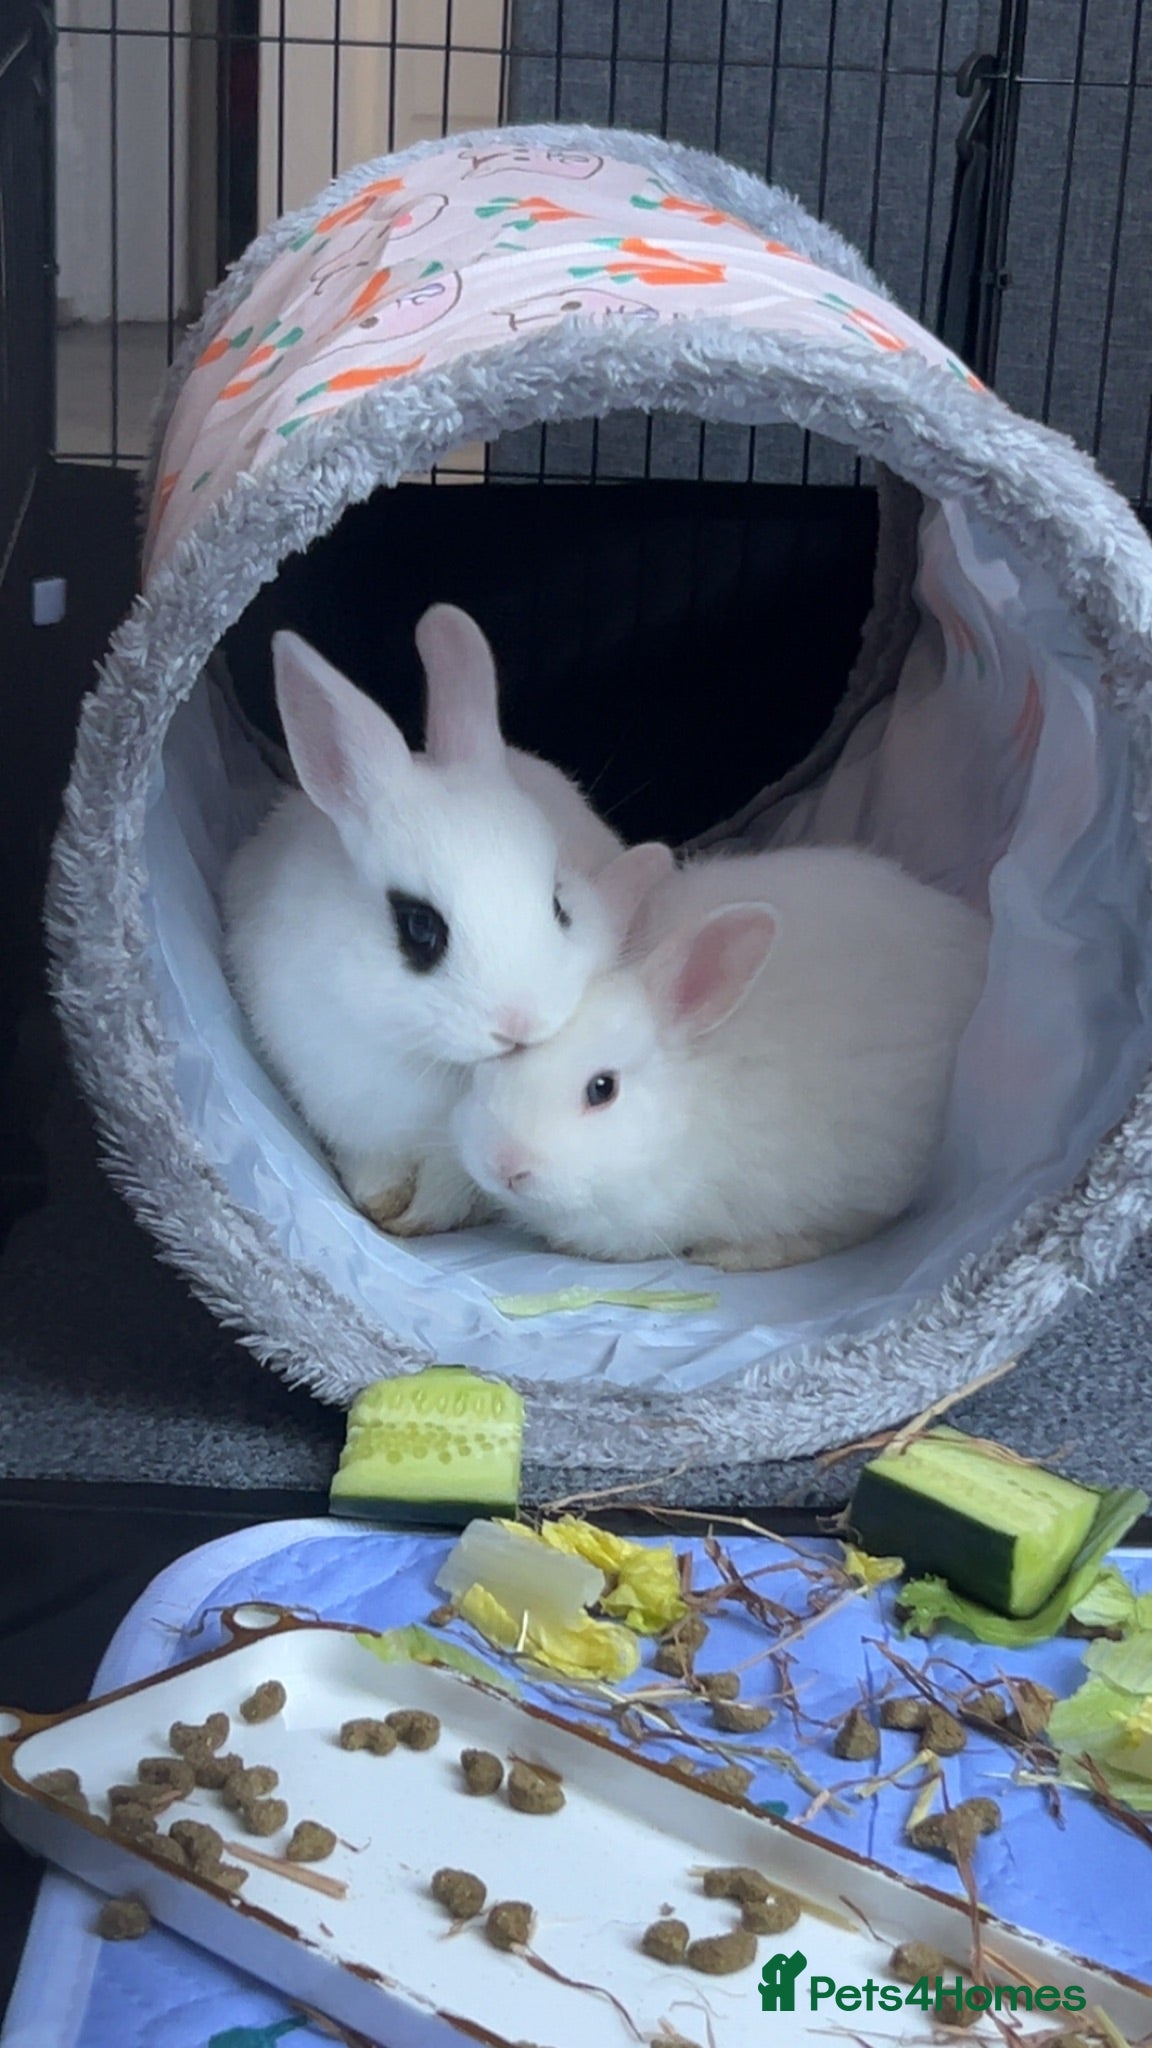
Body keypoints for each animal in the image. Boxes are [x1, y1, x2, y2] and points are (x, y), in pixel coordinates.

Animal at [222, 619, 627, 1238]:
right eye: (418, 925)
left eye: (559, 903)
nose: (520, 1023)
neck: (426, 1055)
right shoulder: (347, 1115)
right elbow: (373, 1169)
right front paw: (381, 1206)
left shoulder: (456, 1165)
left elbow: (444, 1193)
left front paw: (408, 1222)